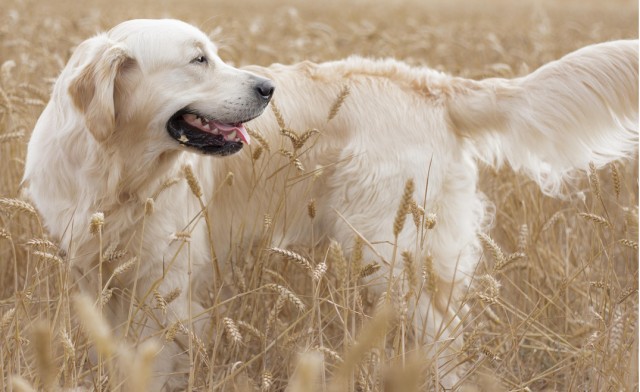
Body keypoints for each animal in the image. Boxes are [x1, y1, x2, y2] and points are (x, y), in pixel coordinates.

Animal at [22, 19, 636, 392]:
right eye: (198, 60)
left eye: (213, 55)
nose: (267, 88)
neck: (115, 169)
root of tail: (431, 85)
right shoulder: (93, 271)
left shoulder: (164, 282)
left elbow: (155, 356)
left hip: (393, 255)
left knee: (444, 342)